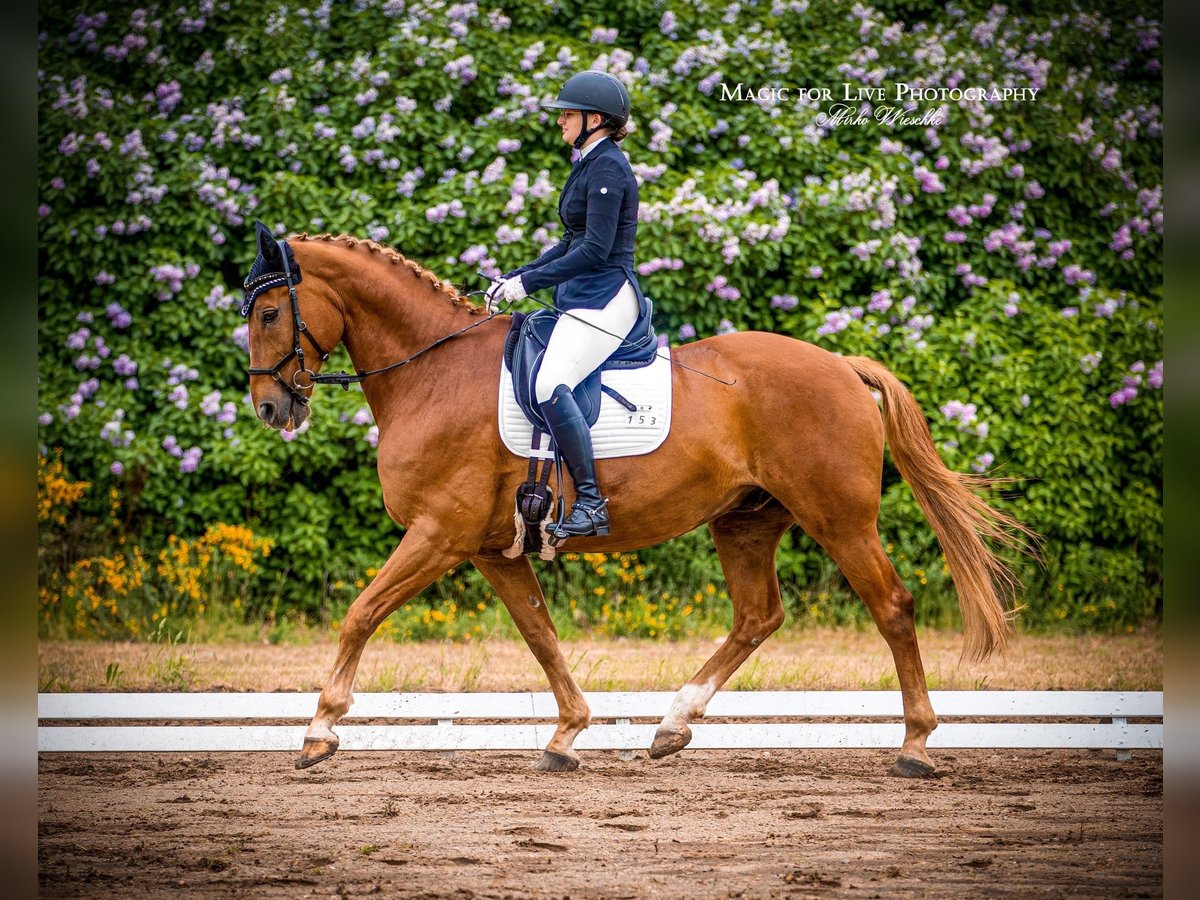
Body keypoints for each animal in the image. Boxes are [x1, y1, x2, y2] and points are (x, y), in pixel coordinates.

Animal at [243, 230, 1032, 777]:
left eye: (272, 312)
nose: (270, 408)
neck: (432, 370)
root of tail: (840, 363)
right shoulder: (489, 549)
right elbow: (540, 634)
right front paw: (566, 734)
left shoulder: (439, 534)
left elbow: (361, 612)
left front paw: (319, 730)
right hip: (745, 521)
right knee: (758, 616)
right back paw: (672, 725)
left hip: (839, 520)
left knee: (892, 607)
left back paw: (915, 745)